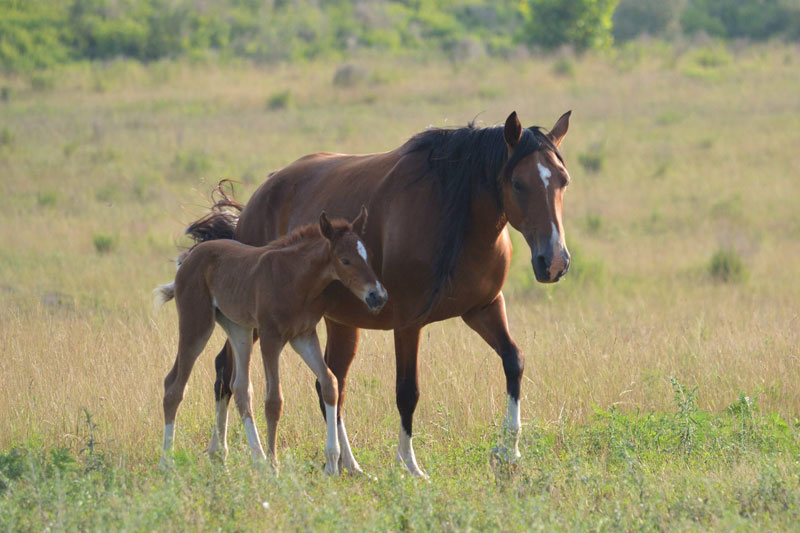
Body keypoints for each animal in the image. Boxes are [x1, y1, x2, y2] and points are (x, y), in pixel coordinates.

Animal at [155, 208, 386, 474]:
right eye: (345, 260)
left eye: (369, 256)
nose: (378, 296)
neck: (294, 278)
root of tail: (189, 258)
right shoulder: (271, 338)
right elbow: (274, 400)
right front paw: (275, 467)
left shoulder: (303, 336)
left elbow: (329, 383)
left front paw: (331, 462)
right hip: (197, 324)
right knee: (174, 385)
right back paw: (167, 463)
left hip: (239, 329)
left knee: (240, 388)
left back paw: (256, 459)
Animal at [191, 110, 572, 476]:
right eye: (518, 183)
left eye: (563, 181)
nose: (553, 262)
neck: (455, 218)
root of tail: (258, 198)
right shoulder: (408, 323)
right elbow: (407, 392)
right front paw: (409, 464)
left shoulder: (484, 308)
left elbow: (514, 361)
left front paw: (510, 451)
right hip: (254, 319)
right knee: (225, 371)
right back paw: (221, 455)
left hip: (340, 323)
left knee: (332, 383)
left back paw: (348, 465)